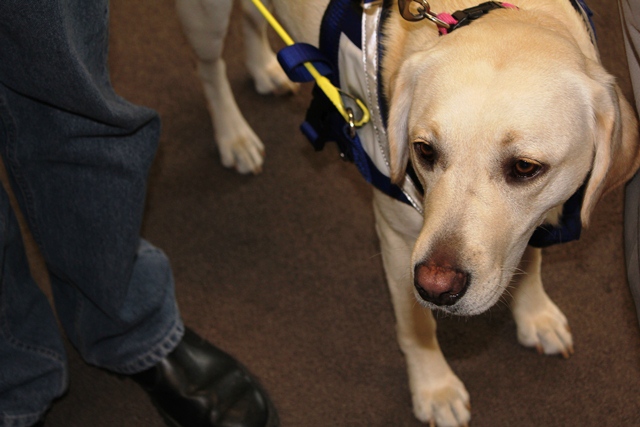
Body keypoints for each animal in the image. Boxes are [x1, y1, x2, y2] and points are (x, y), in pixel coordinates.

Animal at [175, 1, 640, 426]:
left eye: (525, 167)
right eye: (425, 150)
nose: (436, 287)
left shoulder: (534, 218)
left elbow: (530, 259)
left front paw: (535, 314)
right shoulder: (399, 241)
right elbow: (417, 327)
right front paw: (435, 389)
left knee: (252, 18)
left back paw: (263, 70)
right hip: (204, 19)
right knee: (208, 68)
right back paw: (233, 134)